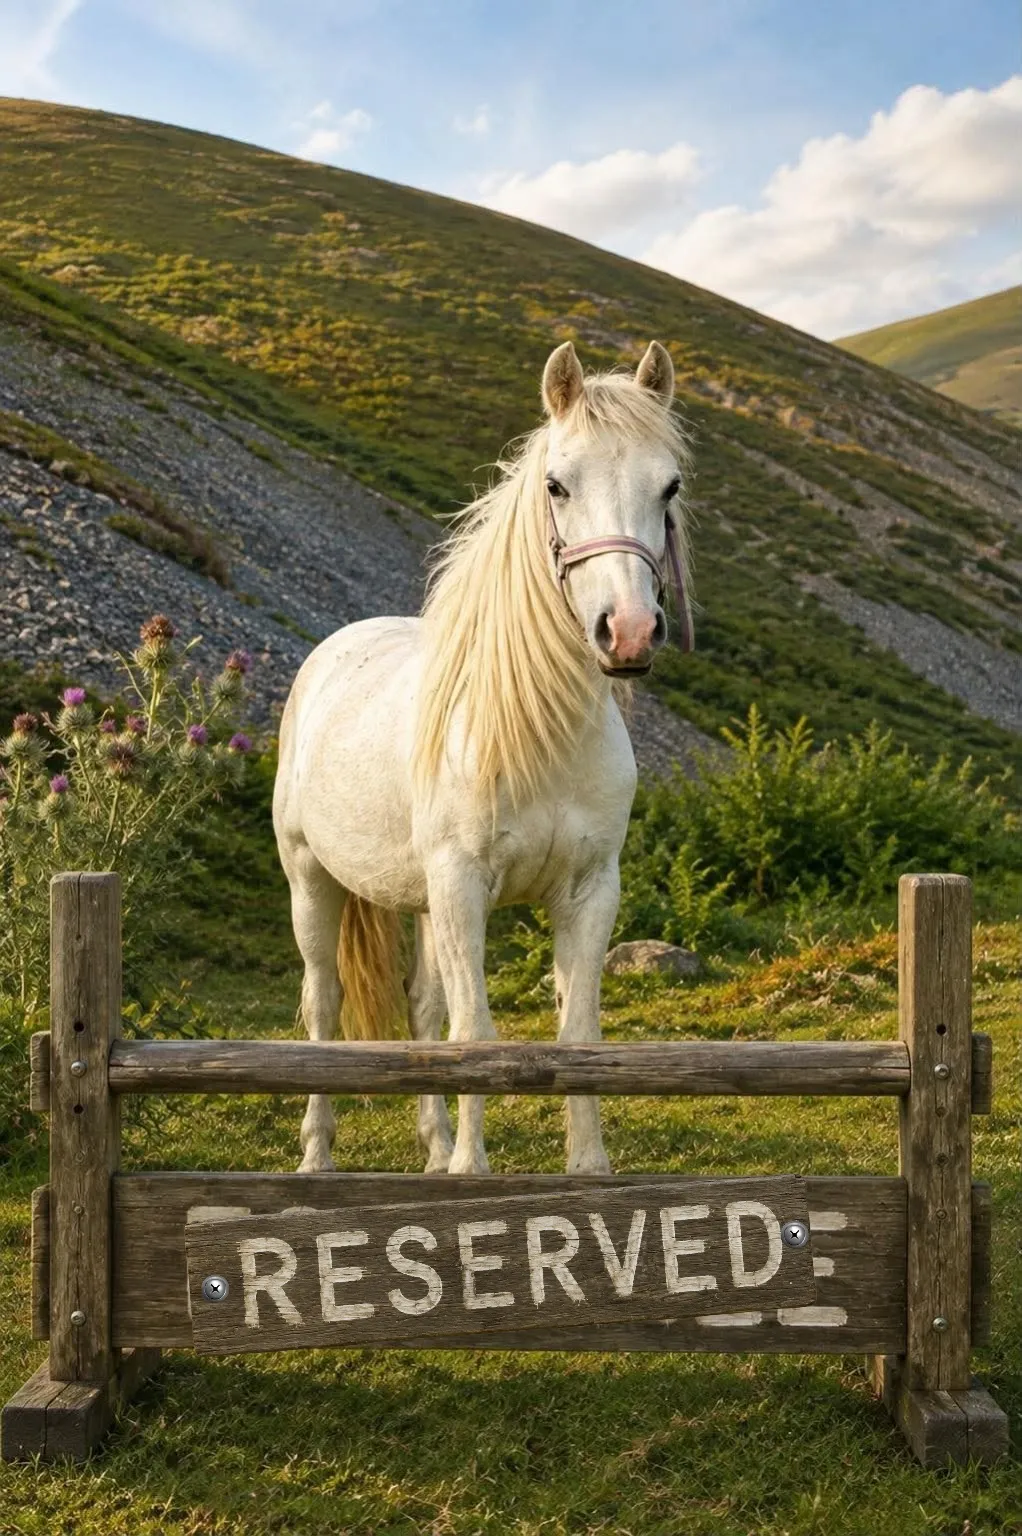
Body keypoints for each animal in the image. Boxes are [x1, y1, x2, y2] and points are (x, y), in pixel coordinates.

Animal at [272, 340, 692, 1176]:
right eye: (557, 485)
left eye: (669, 486)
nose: (629, 632)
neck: (538, 732)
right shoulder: (463, 885)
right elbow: (477, 1035)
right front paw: (473, 1171)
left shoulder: (590, 891)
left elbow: (575, 1034)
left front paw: (586, 1169)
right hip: (313, 883)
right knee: (325, 1007)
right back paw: (319, 1158)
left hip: (424, 903)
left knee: (423, 1008)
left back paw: (434, 1150)